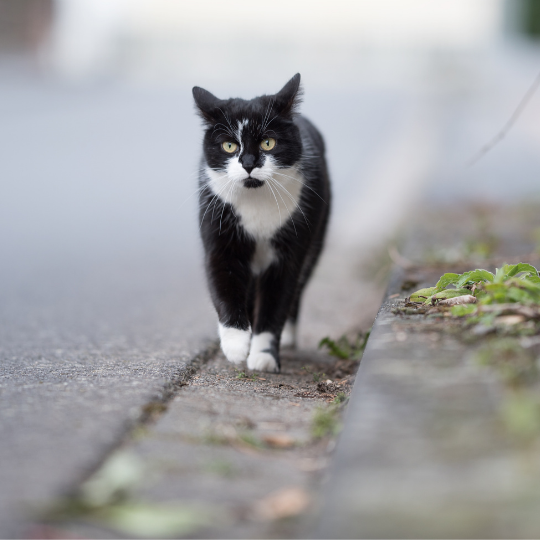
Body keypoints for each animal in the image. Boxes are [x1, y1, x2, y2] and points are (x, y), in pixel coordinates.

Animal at [192, 75, 332, 372]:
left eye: (268, 143)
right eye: (229, 145)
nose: (248, 164)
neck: (256, 200)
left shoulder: (289, 251)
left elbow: (276, 301)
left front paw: (264, 356)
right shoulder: (219, 235)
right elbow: (223, 283)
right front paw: (236, 345)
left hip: (318, 233)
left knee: (297, 288)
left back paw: (287, 336)